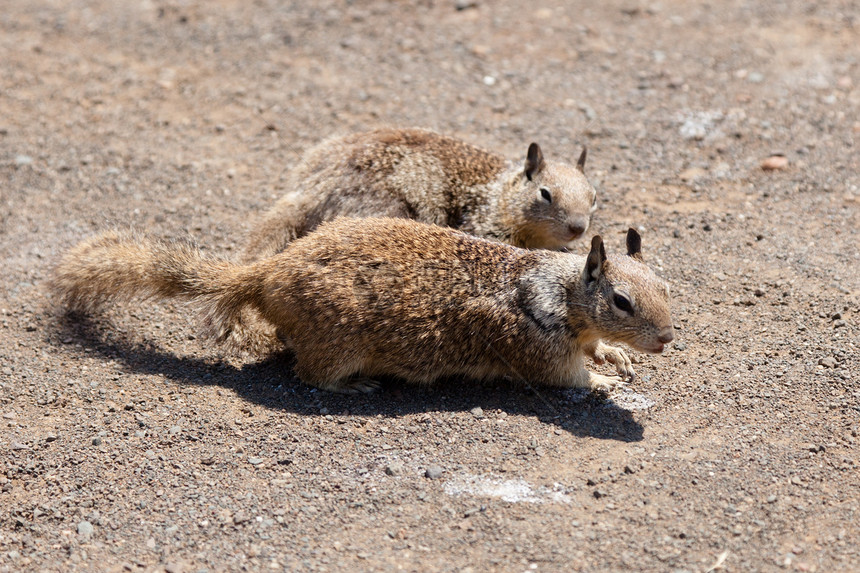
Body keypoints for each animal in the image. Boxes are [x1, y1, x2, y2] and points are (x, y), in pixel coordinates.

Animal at [53, 217, 676, 392]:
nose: (668, 338)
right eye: (622, 301)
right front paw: (603, 381)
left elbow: (594, 351)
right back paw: (352, 386)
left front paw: (614, 357)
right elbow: (566, 377)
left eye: (665, 285)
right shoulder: (534, 348)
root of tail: (267, 273)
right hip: (336, 345)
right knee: (308, 375)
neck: (562, 293)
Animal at [242, 128, 596, 260]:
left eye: (594, 197)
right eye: (545, 194)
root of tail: (310, 191)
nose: (578, 228)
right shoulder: (486, 227)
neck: (499, 195)